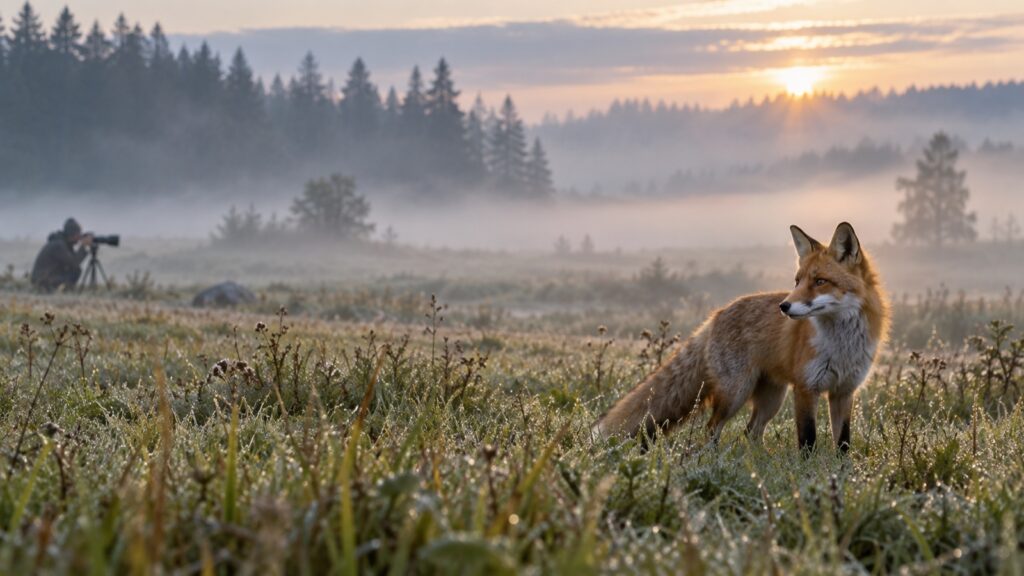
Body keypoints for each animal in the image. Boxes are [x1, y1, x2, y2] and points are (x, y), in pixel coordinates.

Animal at [594, 222, 889, 452]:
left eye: (820, 282)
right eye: (797, 281)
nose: (784, 306)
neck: (842, 346)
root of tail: (716, 315)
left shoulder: (844, 391)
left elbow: (844, 443)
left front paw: (842, 473)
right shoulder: (807, 388)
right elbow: (807, 441)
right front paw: (808, 475)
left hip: (772, 399)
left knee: (750, 433)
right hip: (736, 393)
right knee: (712, 428)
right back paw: (712, 462)